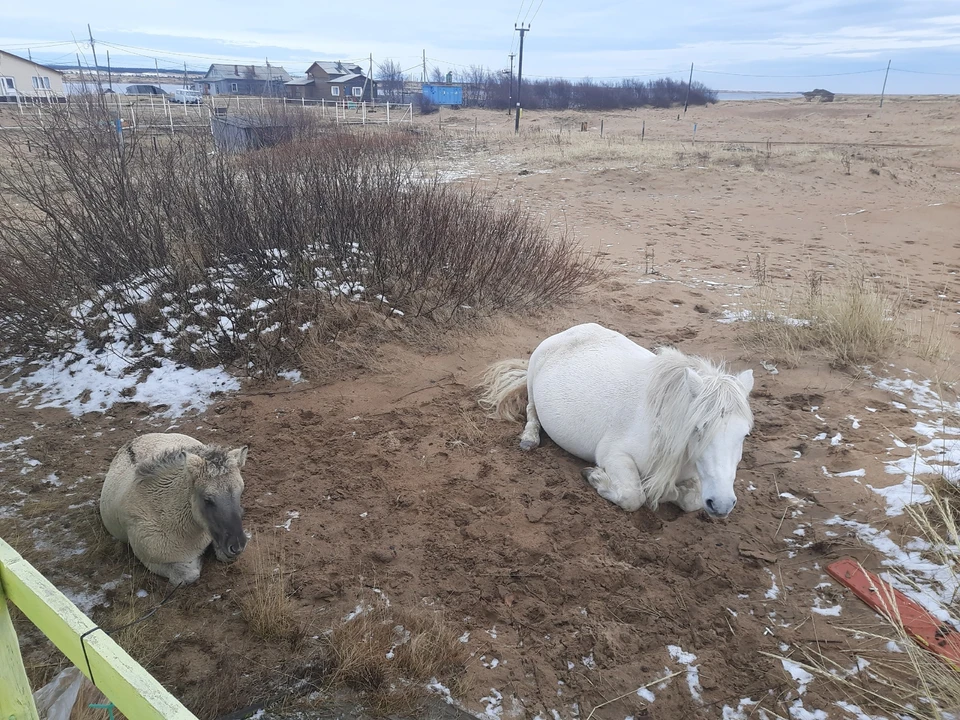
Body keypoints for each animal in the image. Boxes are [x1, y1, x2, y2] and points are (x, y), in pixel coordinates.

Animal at [476, 324, 752, 516]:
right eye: (697, 429)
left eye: (744, 435)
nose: (722, 504)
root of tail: (566, 332)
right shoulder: (614, 455)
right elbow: (634, 496)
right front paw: (596, 477)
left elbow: (691, 500)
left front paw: (672, 492)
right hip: (534, 377)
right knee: (532, 411)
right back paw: (530, 438)